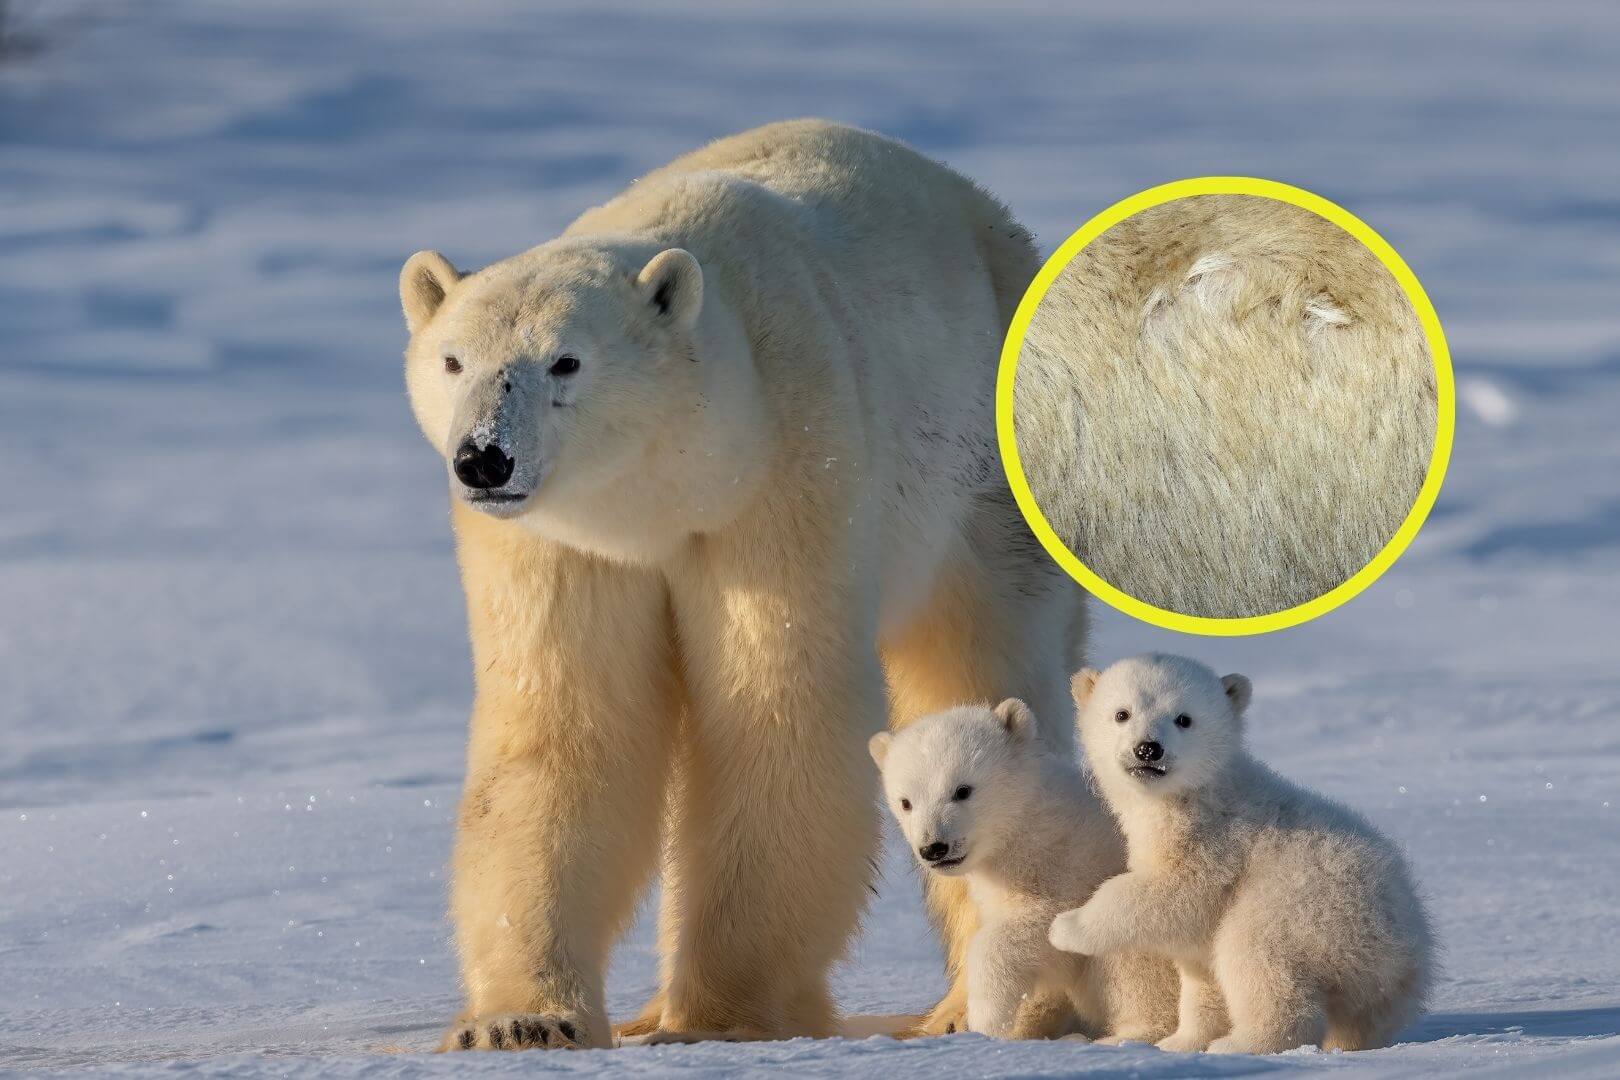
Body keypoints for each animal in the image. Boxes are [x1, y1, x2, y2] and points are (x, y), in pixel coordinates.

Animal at [396, 120, 1085, 1050]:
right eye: (453, 360)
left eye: (566, 361)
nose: (483, 458)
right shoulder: (563, 544)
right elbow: (564, 730)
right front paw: (521, 1020)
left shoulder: (785, 471)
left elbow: (776, 716)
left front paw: (717, 1018)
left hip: (986, 484)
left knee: (982, 664)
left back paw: (972, 1009)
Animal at [868, 700, 1177, 1043]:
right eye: (906, 802)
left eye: (962, 790)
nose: (934, 847)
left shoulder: (1071, 865)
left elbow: (1042, 929)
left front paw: (987, 1018)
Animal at [1050, 654, 1435, 1054]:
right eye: (1122, 713)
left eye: (1184, 718)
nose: (1148, 749)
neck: (1195, 793)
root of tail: (1405, 952)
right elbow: (1199, 971)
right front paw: (1180, 1042)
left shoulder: (1214, 843)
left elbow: (1171, 893)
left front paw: (1066, 927)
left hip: (1306, 909)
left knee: (1253, 955)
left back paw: (1241, 1043)